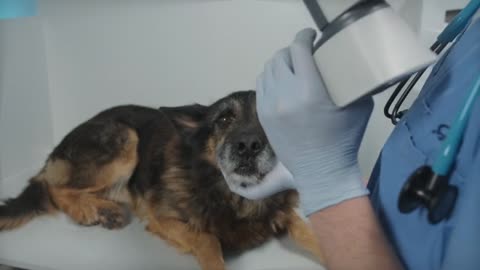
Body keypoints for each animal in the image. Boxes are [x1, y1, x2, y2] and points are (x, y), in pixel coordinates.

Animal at [0, 90, 324, 270]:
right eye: (223, 120)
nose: (248, 146)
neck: (234, 196)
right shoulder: (162, 219)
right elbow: (207, 239)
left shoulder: (283, 210)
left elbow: (307, 231)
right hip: (126, 137)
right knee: (53, 187)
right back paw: (91, 211)